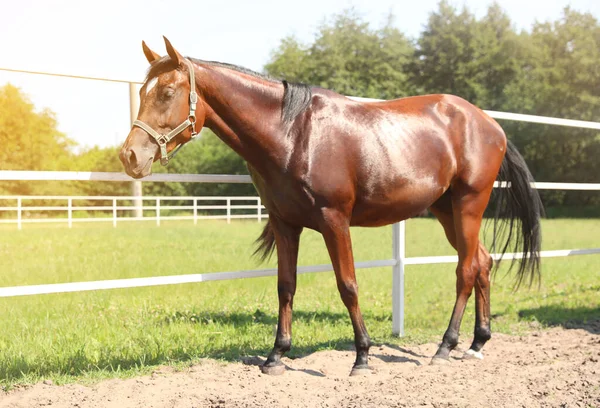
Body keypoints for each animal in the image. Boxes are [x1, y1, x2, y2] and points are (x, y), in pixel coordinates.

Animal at [118, 37, 544, 376]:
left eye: (167, 93)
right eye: (141, 93)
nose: (129, 156)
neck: (294, 134)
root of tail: (489, 123)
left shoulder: (334, 221)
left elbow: (348, 286)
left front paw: (362, 357)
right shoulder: (285, 223)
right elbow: (285, 286)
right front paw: (276, 356)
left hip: (468, 204)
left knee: (466, 270)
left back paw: (445, 345)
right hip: (445, 211)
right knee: (483, 263)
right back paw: (476, 343)